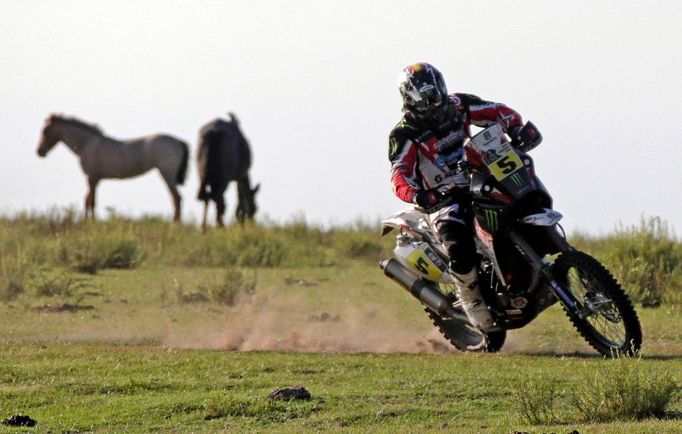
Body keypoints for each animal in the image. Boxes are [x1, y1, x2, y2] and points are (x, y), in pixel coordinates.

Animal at [38, 113, 190, 220]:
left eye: (45, 130)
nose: (39, 152)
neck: (86, 144)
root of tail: (178, 141)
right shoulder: (95, 179)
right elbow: (90, 200)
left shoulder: (91, 178)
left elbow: (90, 201)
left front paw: (90, 222)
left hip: (167, 175)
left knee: (177, 199)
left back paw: (175, 225)